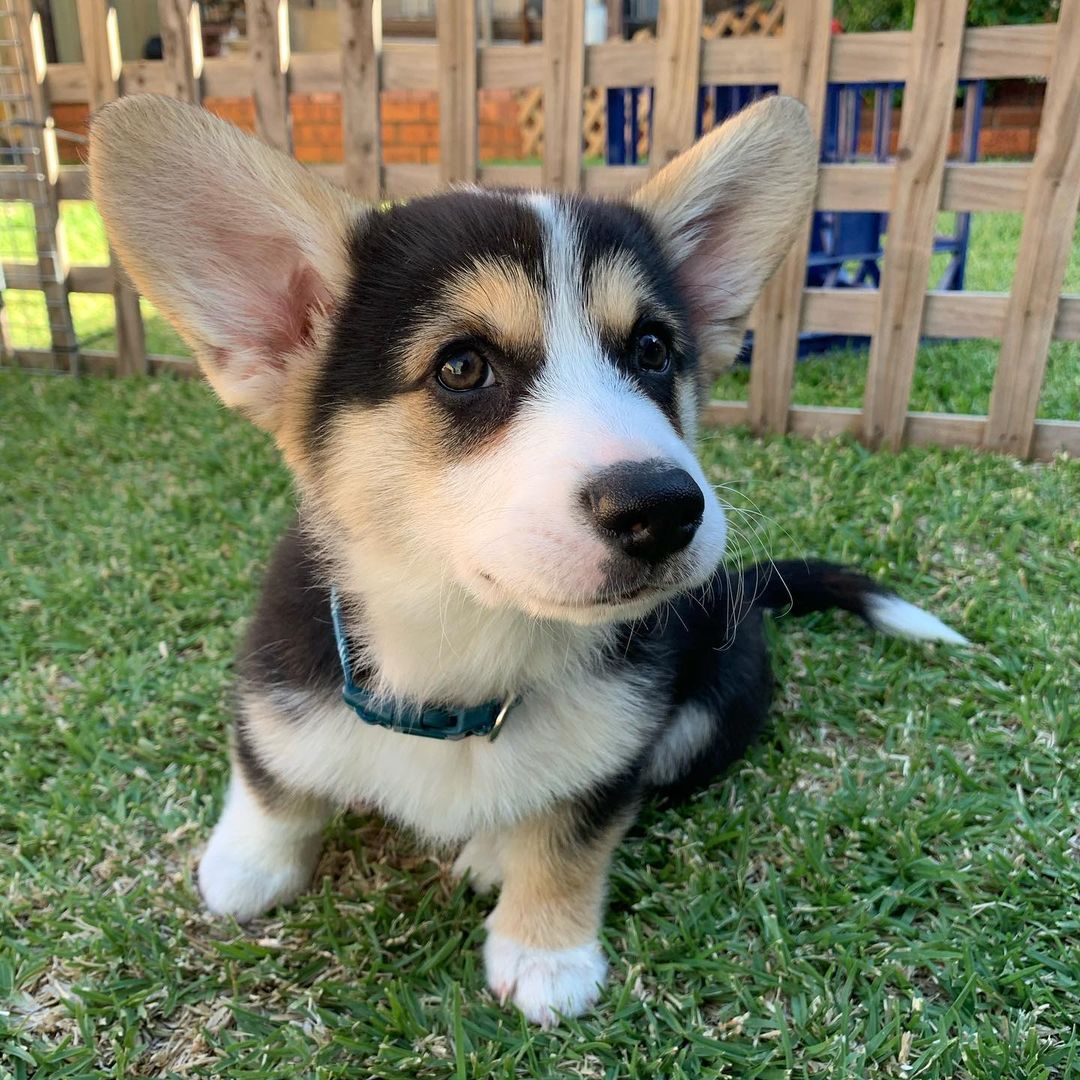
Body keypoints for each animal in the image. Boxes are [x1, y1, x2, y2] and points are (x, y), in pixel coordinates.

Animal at [89, 93, 966, 1026]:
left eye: (652, 350)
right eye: (462, 366)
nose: (664, 509)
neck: (467, 648)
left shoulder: (616, 748)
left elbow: (572, 836)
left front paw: (546, 951)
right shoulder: (278, 683)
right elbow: (271, 782)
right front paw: (245, 867)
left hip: (709, 706)